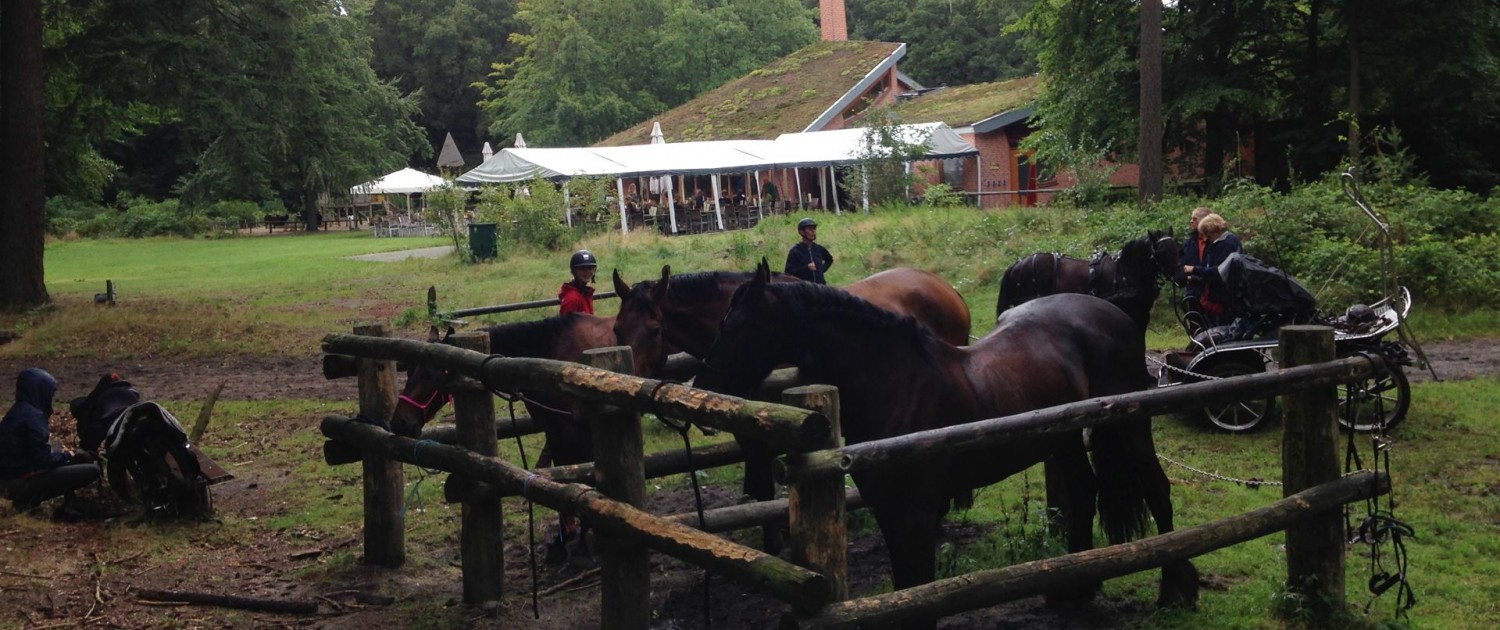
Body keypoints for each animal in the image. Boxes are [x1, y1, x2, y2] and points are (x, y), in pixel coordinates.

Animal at [696, 259, 1200, 621]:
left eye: (737, 325)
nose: (704, 383)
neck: (897, 385)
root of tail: (1113, 314)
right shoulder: (888, 506)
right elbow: (905, 582)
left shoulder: (917, 511)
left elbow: (917, 584)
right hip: (1064, 438)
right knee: (1083, 490)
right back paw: (1073, 590)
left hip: (1129, 426)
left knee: (1156, 489)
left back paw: (1177, 589)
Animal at [996, 229, 1182, 331]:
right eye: (1162, 251)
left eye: (1178, 248)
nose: (1182, 276)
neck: (1126, 271)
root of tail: (1016, 264)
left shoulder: (1143, 314)